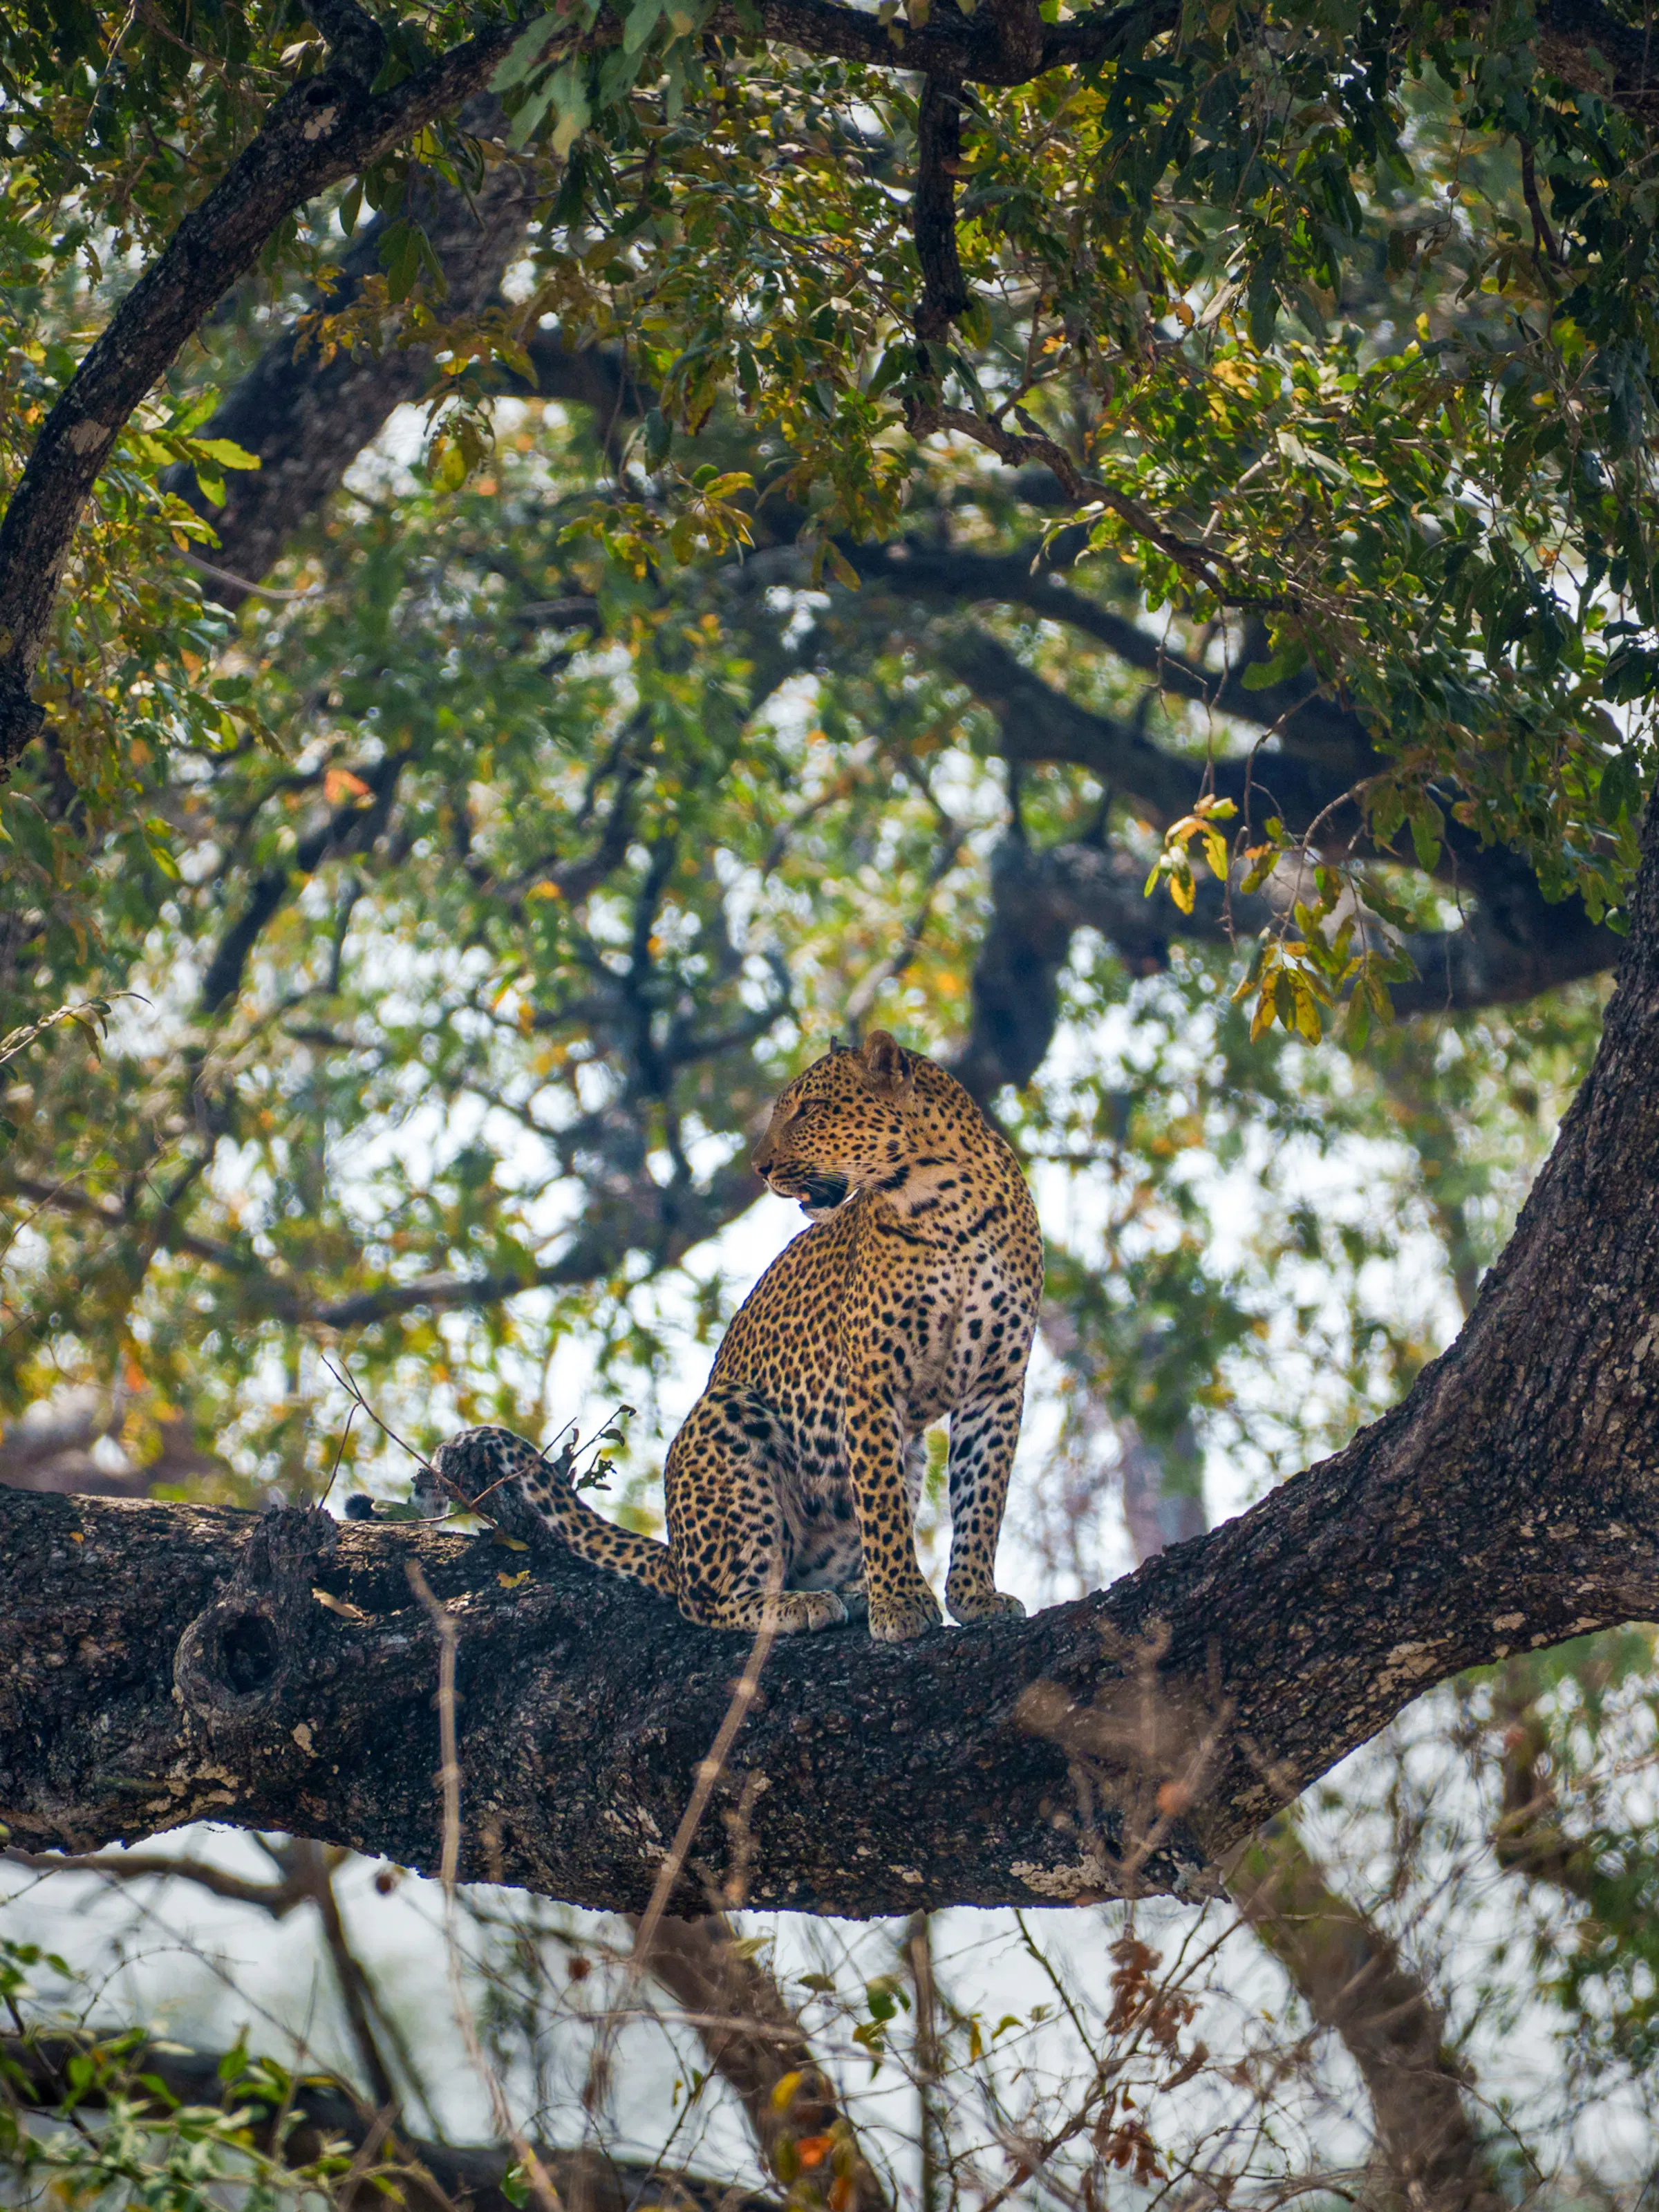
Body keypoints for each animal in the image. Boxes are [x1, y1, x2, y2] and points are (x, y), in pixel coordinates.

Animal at [417, 1031, 1044, 1643]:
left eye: (810, 1109)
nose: (760, 1167)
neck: (945, 1204)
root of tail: (675, 1555)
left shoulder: (997, 1381)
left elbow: (982, 1495)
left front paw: (974, 1596)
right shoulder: (871, 1379)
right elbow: (883, 1503)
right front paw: (902, 1604)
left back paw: (850, 1592)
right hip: (730, 1416)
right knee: (707, 1600)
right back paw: (797, 1605)